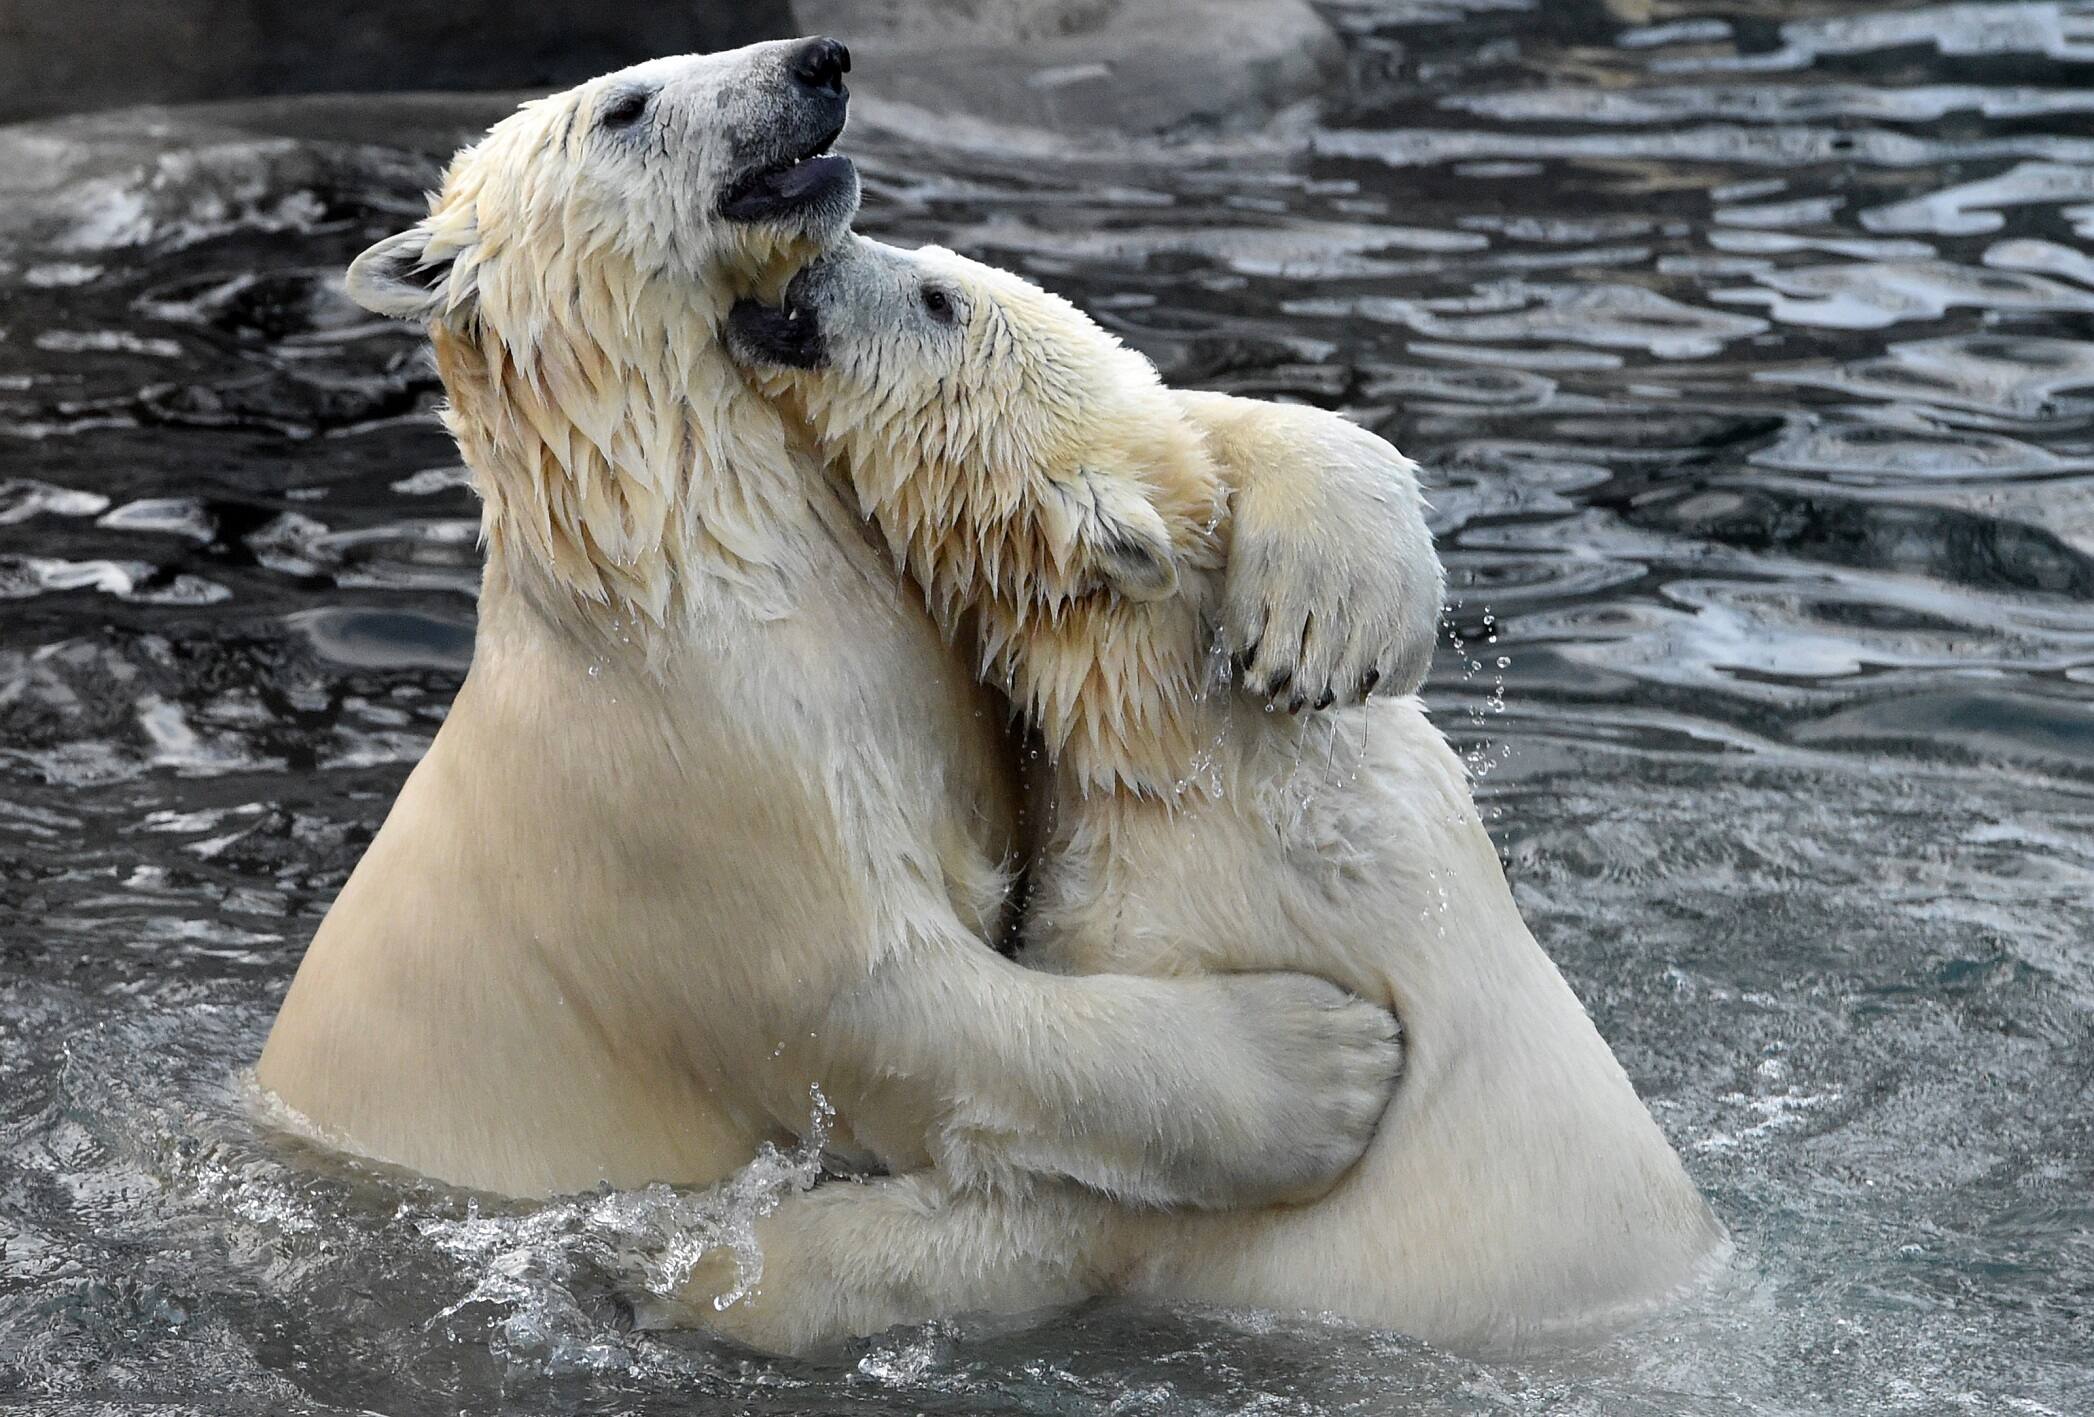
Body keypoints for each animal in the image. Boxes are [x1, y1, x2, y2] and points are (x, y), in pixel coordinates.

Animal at [253, 44, 1423, 1230]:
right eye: (624, 105)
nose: (817, 59)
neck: (686, 577)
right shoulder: (696, 814)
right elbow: (898, 1009)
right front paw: (1323, 1059)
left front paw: (1329, 608)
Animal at [711, 237, 1725, 1356]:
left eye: (940, 298)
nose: (818, 256)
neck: (1187, 738)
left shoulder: (1192, 909)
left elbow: (1060, 1200)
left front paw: (699, 1266)